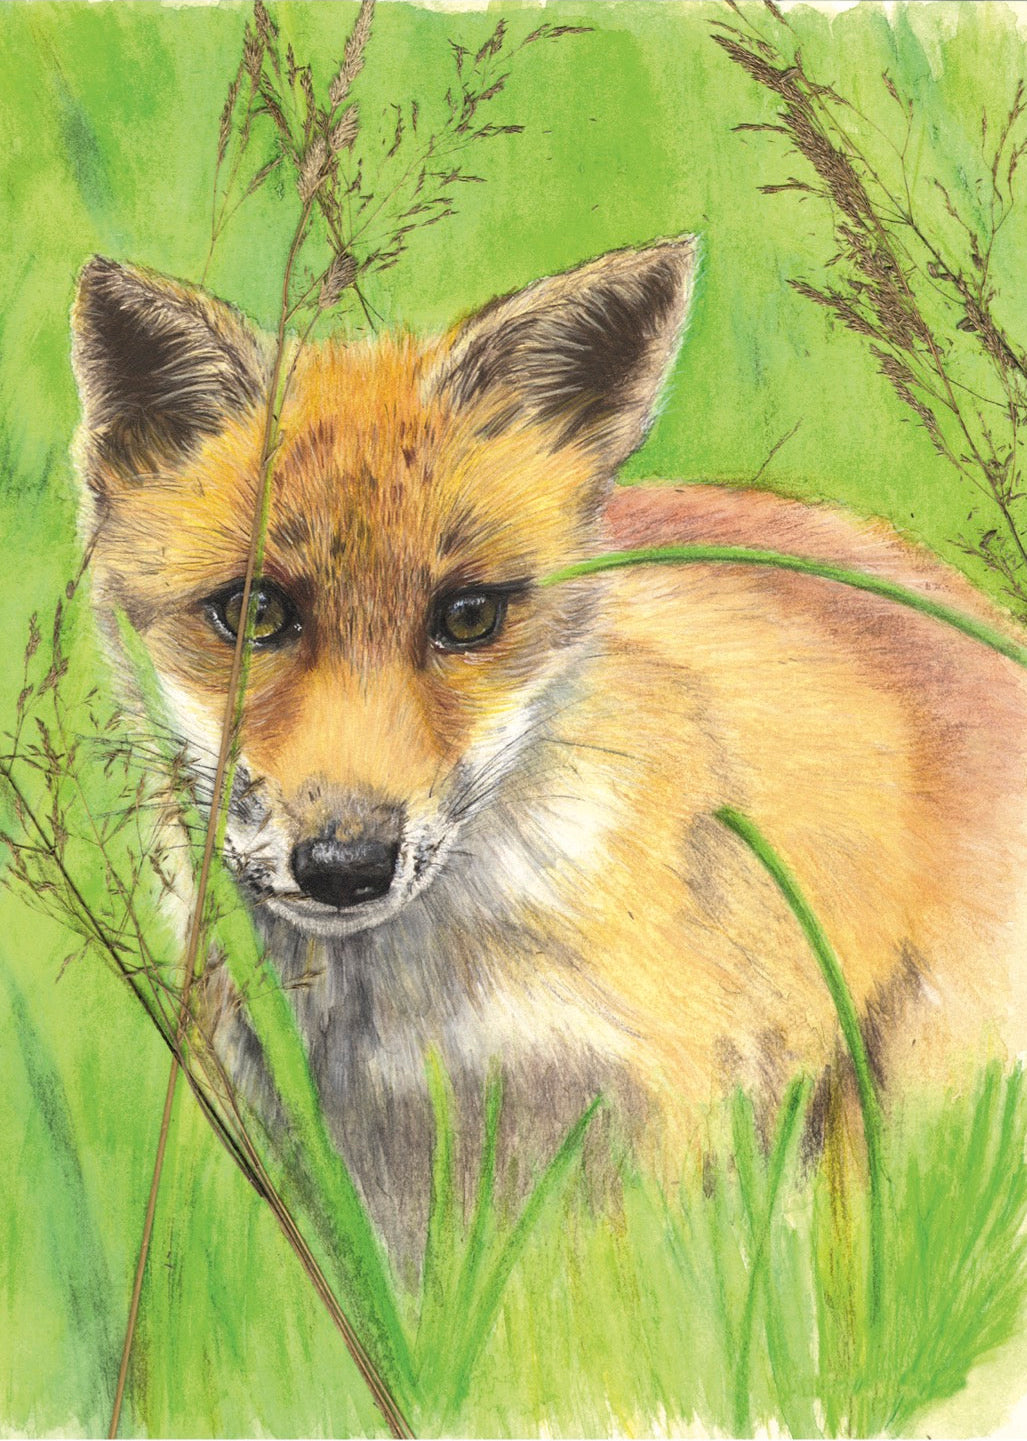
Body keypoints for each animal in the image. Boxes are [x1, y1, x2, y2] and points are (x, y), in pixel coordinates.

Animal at [71, 238, 1027, 1254]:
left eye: (468, 617)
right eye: (254, 612)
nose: (345, 865)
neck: (414, 1025)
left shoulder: (658, 1137)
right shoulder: (367, 1196)